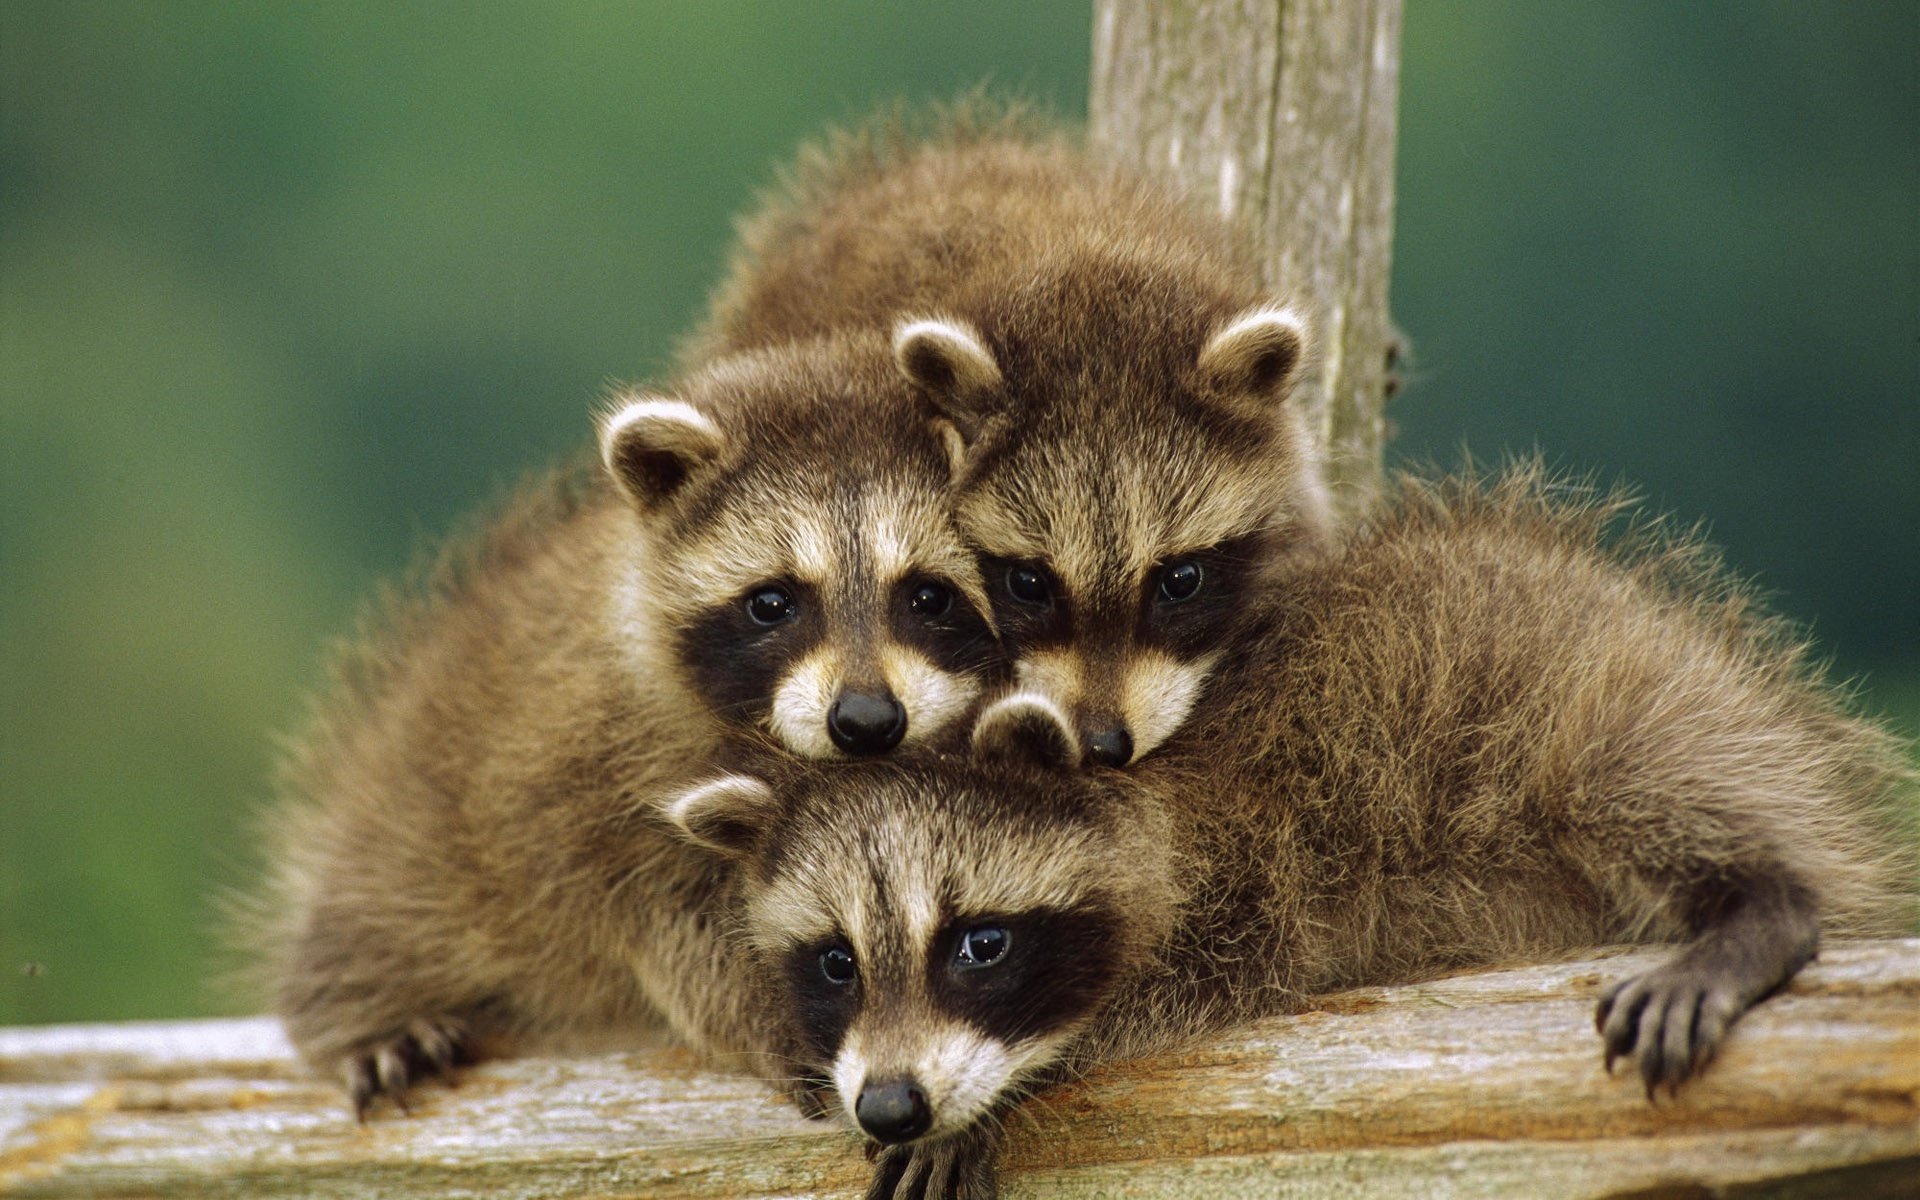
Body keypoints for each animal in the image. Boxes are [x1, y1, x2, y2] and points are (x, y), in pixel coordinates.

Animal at [258, 331, 999, 1113]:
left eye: (929, 595)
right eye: (773, 602)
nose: (865, 719)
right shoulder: (592, 780)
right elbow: (673, 926)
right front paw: (788, 1009)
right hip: (413, 832)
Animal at [666, 466, 1911, 1200]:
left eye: (978, 945)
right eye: (835, 963)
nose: (890, 1102)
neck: (1140, 790)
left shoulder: (1254, 864)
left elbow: (1170, 986)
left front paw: (1004, 1090)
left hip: (1601, 691)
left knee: (1648, 781)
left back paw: (1764, 902)